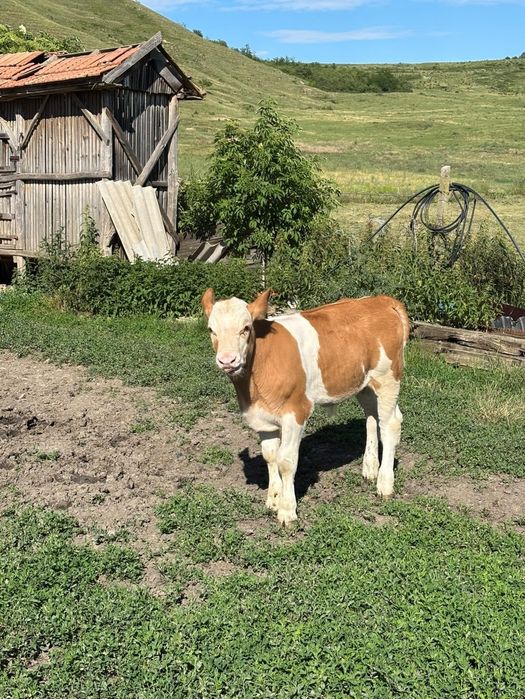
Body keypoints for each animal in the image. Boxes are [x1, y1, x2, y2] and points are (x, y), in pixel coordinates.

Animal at [202, 288, 410, 526]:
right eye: (211, 329)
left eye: (245, 328)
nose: (227, 360)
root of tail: (381, 300)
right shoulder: (261, 418)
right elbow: (270, 456)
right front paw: (273, 498)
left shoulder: (296, 410)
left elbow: (286, 461)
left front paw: (287, 510)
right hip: (364, 382)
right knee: (372, 418)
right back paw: (370, 469)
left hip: (388, 377)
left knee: (390, 424)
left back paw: (384, 483)